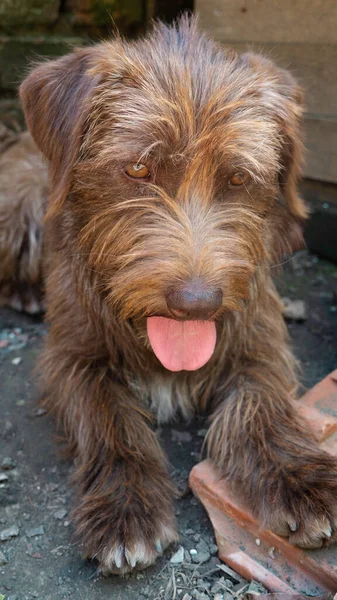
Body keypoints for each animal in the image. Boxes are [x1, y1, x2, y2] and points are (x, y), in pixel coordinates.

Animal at [2, 15, 336, 576]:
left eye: (238, 177)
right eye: (138, 169)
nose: (197, 304)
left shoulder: (258, 343)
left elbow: (262, 403)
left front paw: (299, 478)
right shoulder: (71, 359)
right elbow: (109, 418)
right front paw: (126, 508)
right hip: (20, 199)